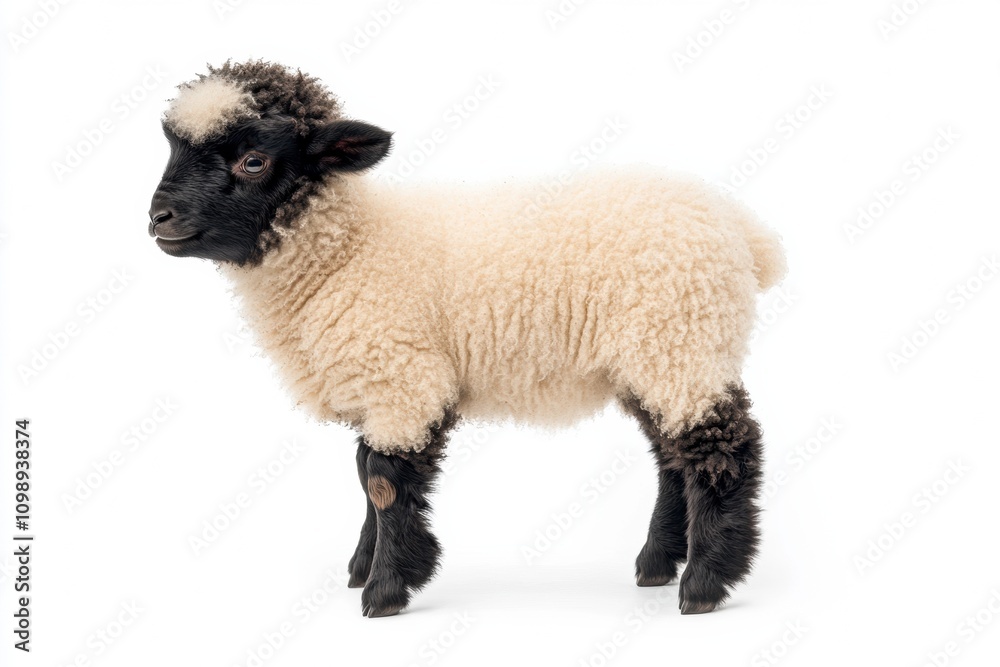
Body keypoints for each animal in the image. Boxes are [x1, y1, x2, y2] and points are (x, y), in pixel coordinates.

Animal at [148, 60, 786, 618]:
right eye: (173, 148)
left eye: (253, 160)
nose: (158, 218)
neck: (344, 250)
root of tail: (740, 229)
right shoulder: (377, 388)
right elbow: (362, 474)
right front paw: (362, 566)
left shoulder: (402, 379)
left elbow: (382, 483)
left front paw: (385, 589)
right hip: (656, 356)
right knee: (673, 457)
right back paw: (657, 564)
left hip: (684, 340)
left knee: (723, 451)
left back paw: (704, 583)